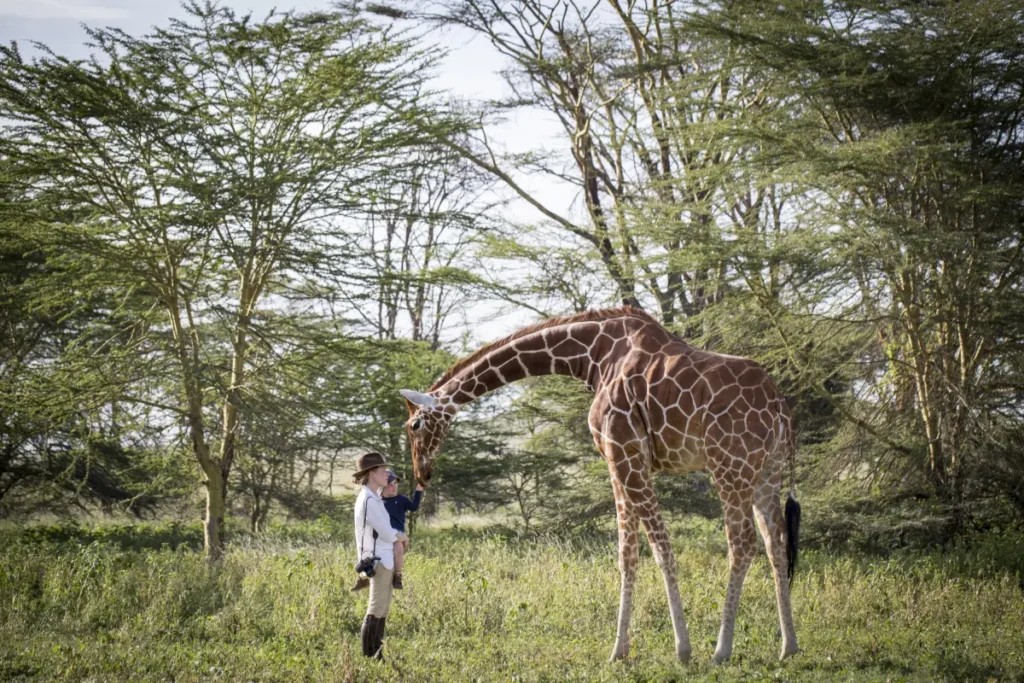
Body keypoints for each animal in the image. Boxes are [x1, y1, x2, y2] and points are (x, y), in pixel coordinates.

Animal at [400, 307, 799, 664]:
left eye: (414, 426)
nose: (422, 474)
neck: (593, 355)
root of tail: (780, 408)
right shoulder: (618, 460)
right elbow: (627, 553)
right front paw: (620, 651)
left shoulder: (624, 452)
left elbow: (661, 547)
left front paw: (682, 650)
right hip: (768, 470)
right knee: (775, 540)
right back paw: (788, 647)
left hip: (729, 464)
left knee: (742, 542)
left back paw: (722, 650)